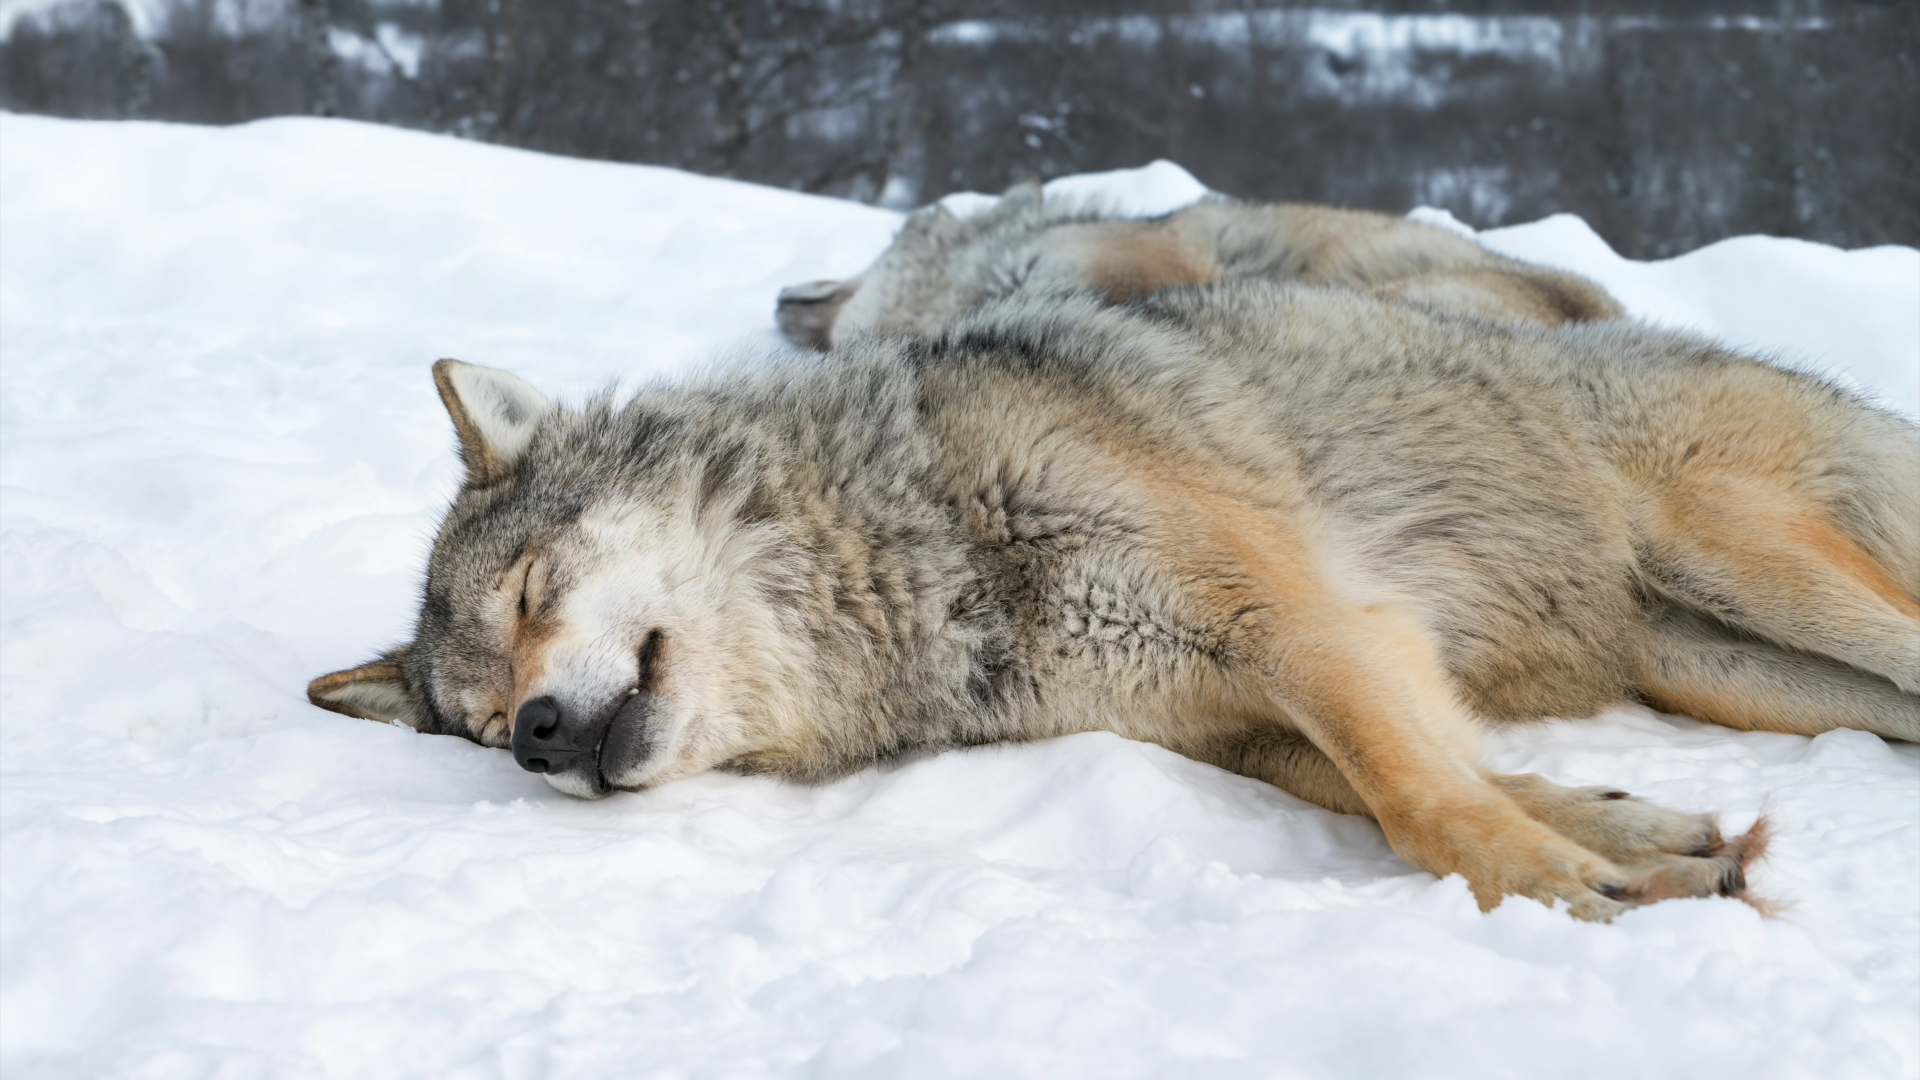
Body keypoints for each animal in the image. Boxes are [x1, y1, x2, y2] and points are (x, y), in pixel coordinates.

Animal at [311, 282, 1918, 922]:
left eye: (533, 592)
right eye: (471, 727)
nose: (534, 737)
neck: (926, 557)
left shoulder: (1305, 628)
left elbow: (1422, 804)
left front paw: (1559, 889)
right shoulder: (1237, 723)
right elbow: (1435, 781)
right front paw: (1643, 843)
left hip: (1753, 563)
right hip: (1724, 667)